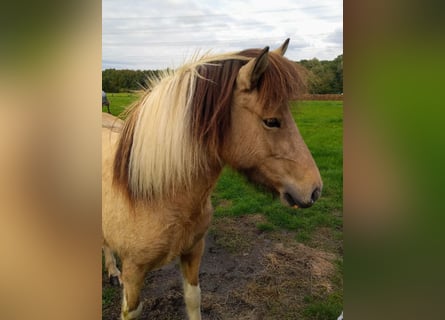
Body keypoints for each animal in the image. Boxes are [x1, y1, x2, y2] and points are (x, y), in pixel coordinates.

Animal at [102, 38, 320, 318]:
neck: (156, 195)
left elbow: (193, 298)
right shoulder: (134, 273)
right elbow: (132, 310)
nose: (314, 190)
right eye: (271, 121)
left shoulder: (193, 251)